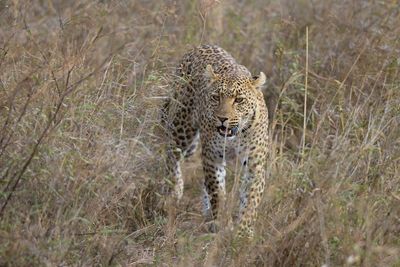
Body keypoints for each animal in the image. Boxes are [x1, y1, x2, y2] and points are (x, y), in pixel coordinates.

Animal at [162, 44, 268, 239]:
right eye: (215, 97)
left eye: (239, 100)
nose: (222, 118)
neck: (236, 135)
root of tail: (199, 46)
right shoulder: (213, 157)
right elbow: (217, 192)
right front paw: (223, 223)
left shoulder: (254, 164)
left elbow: (251, 200)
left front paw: (243, 233)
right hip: (182, 125)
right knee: (172, 153)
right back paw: (174, 191)